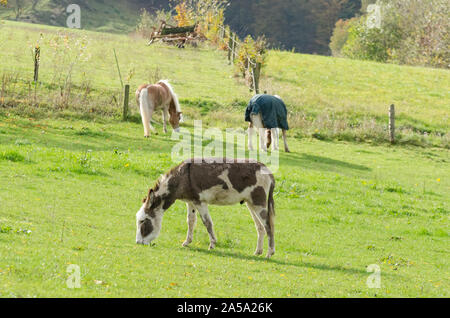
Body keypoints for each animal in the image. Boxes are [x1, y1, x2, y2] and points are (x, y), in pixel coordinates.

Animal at [135, 159, 276, 258]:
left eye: (143, 221)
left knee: (268, 226)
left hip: (259, 203)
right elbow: (191, 222)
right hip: (250, 203)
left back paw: (269, 253)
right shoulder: (191, 202)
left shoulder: (200, 202)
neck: (182, 177)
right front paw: (187, 242)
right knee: (260, 227)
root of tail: (268, 170)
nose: (138, 243)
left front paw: (212, 244)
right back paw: (258, 252)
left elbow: (207, 223)